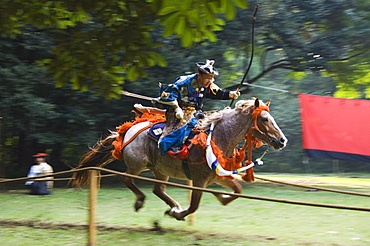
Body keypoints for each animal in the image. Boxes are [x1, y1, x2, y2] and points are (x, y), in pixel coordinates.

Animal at [71, 99, 286, 220]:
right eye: (265, 119)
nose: (282, 140)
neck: (218, 138)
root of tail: (126, 131)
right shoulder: (199, 181)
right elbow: (195, 205)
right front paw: (178, 215)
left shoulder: (217, 177)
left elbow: (237, 192)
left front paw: (218, 197)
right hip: (137, 164)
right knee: (127, 179)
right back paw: (143, 202)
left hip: (159, 170)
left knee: (158, 189)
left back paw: (173, 206)